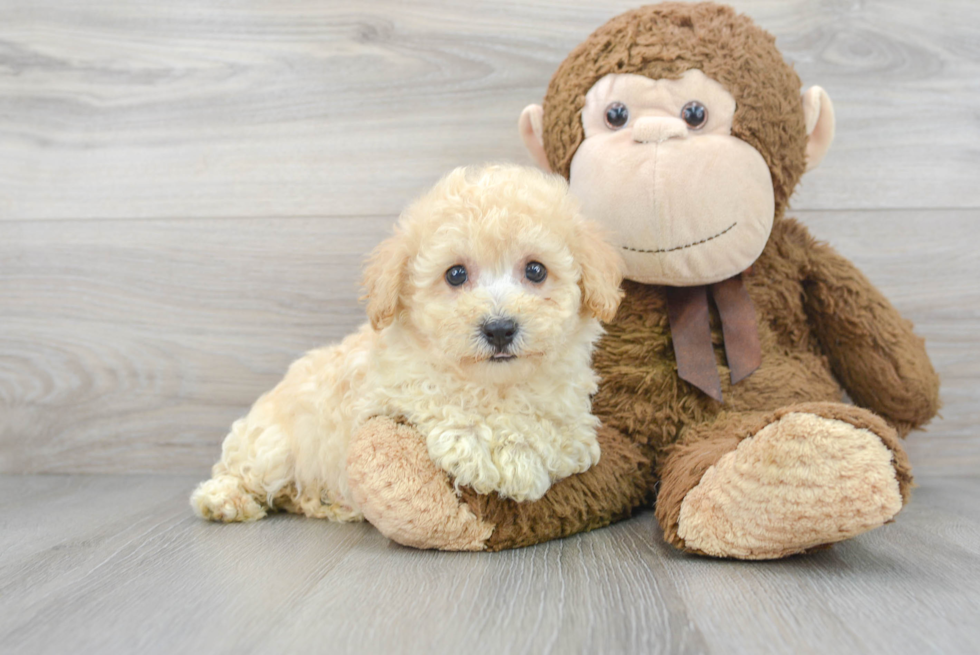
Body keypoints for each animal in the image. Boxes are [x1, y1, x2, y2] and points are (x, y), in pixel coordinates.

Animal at [190, 164, 620, 524]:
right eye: (455, 274)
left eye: (535, 270)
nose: (499, 329)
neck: (495, 385)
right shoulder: (389, 387)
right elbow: (438, 396)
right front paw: (483, 449)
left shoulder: (572, 418)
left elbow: (554, 431)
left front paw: (519, 453)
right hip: (273, 447)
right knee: (243, 472)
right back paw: (224, 499)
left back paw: (327, 502)